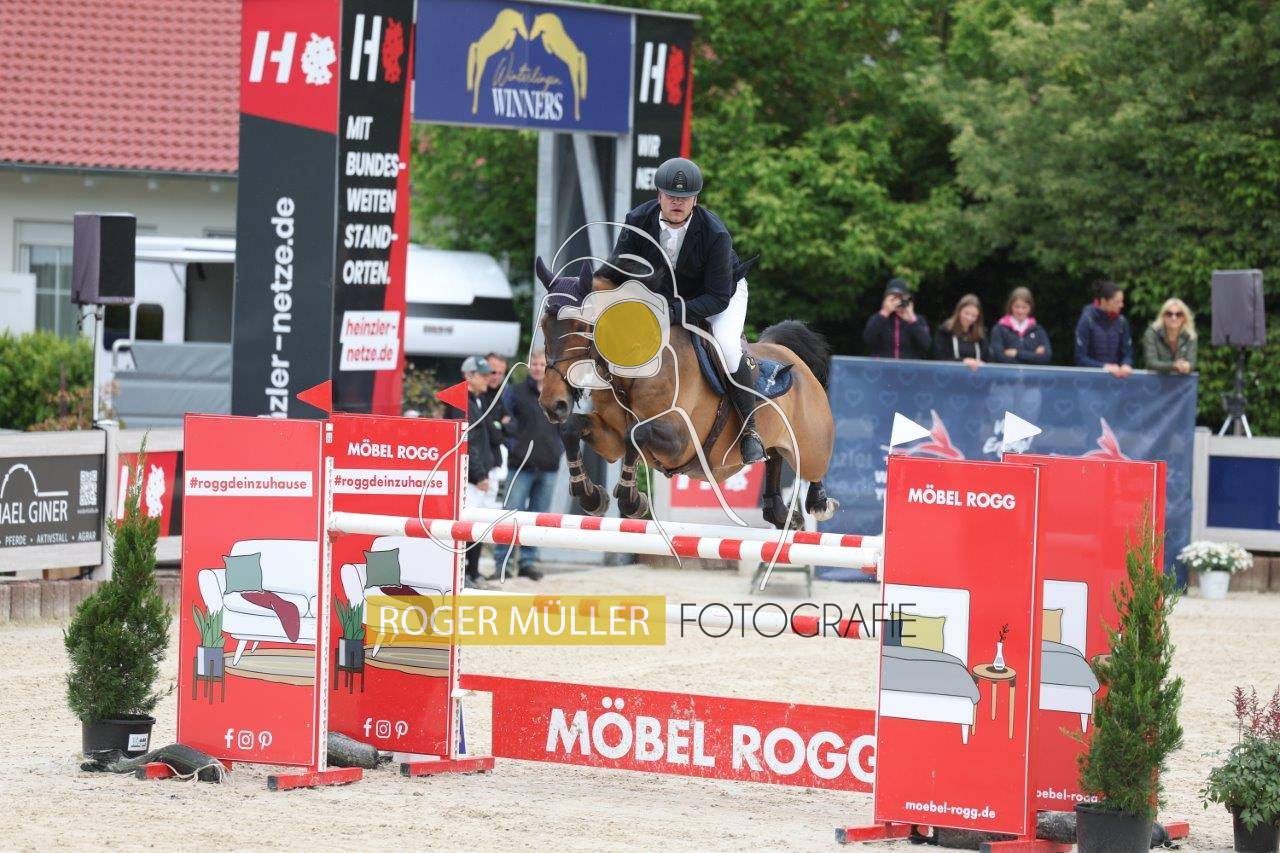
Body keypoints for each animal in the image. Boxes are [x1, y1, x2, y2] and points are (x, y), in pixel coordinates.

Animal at [535, 257, 838, 530]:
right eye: (543, 326)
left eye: (580, 327)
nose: (552, 404)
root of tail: (787, 354)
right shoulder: (611, 440)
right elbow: (574, 427)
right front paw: (591, 495)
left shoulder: (681, 441)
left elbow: (636, 432)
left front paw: (632, 500)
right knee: (773, 456)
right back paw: (780, 511)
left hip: (811, 441)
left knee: (814, 464)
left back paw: (819, 503)